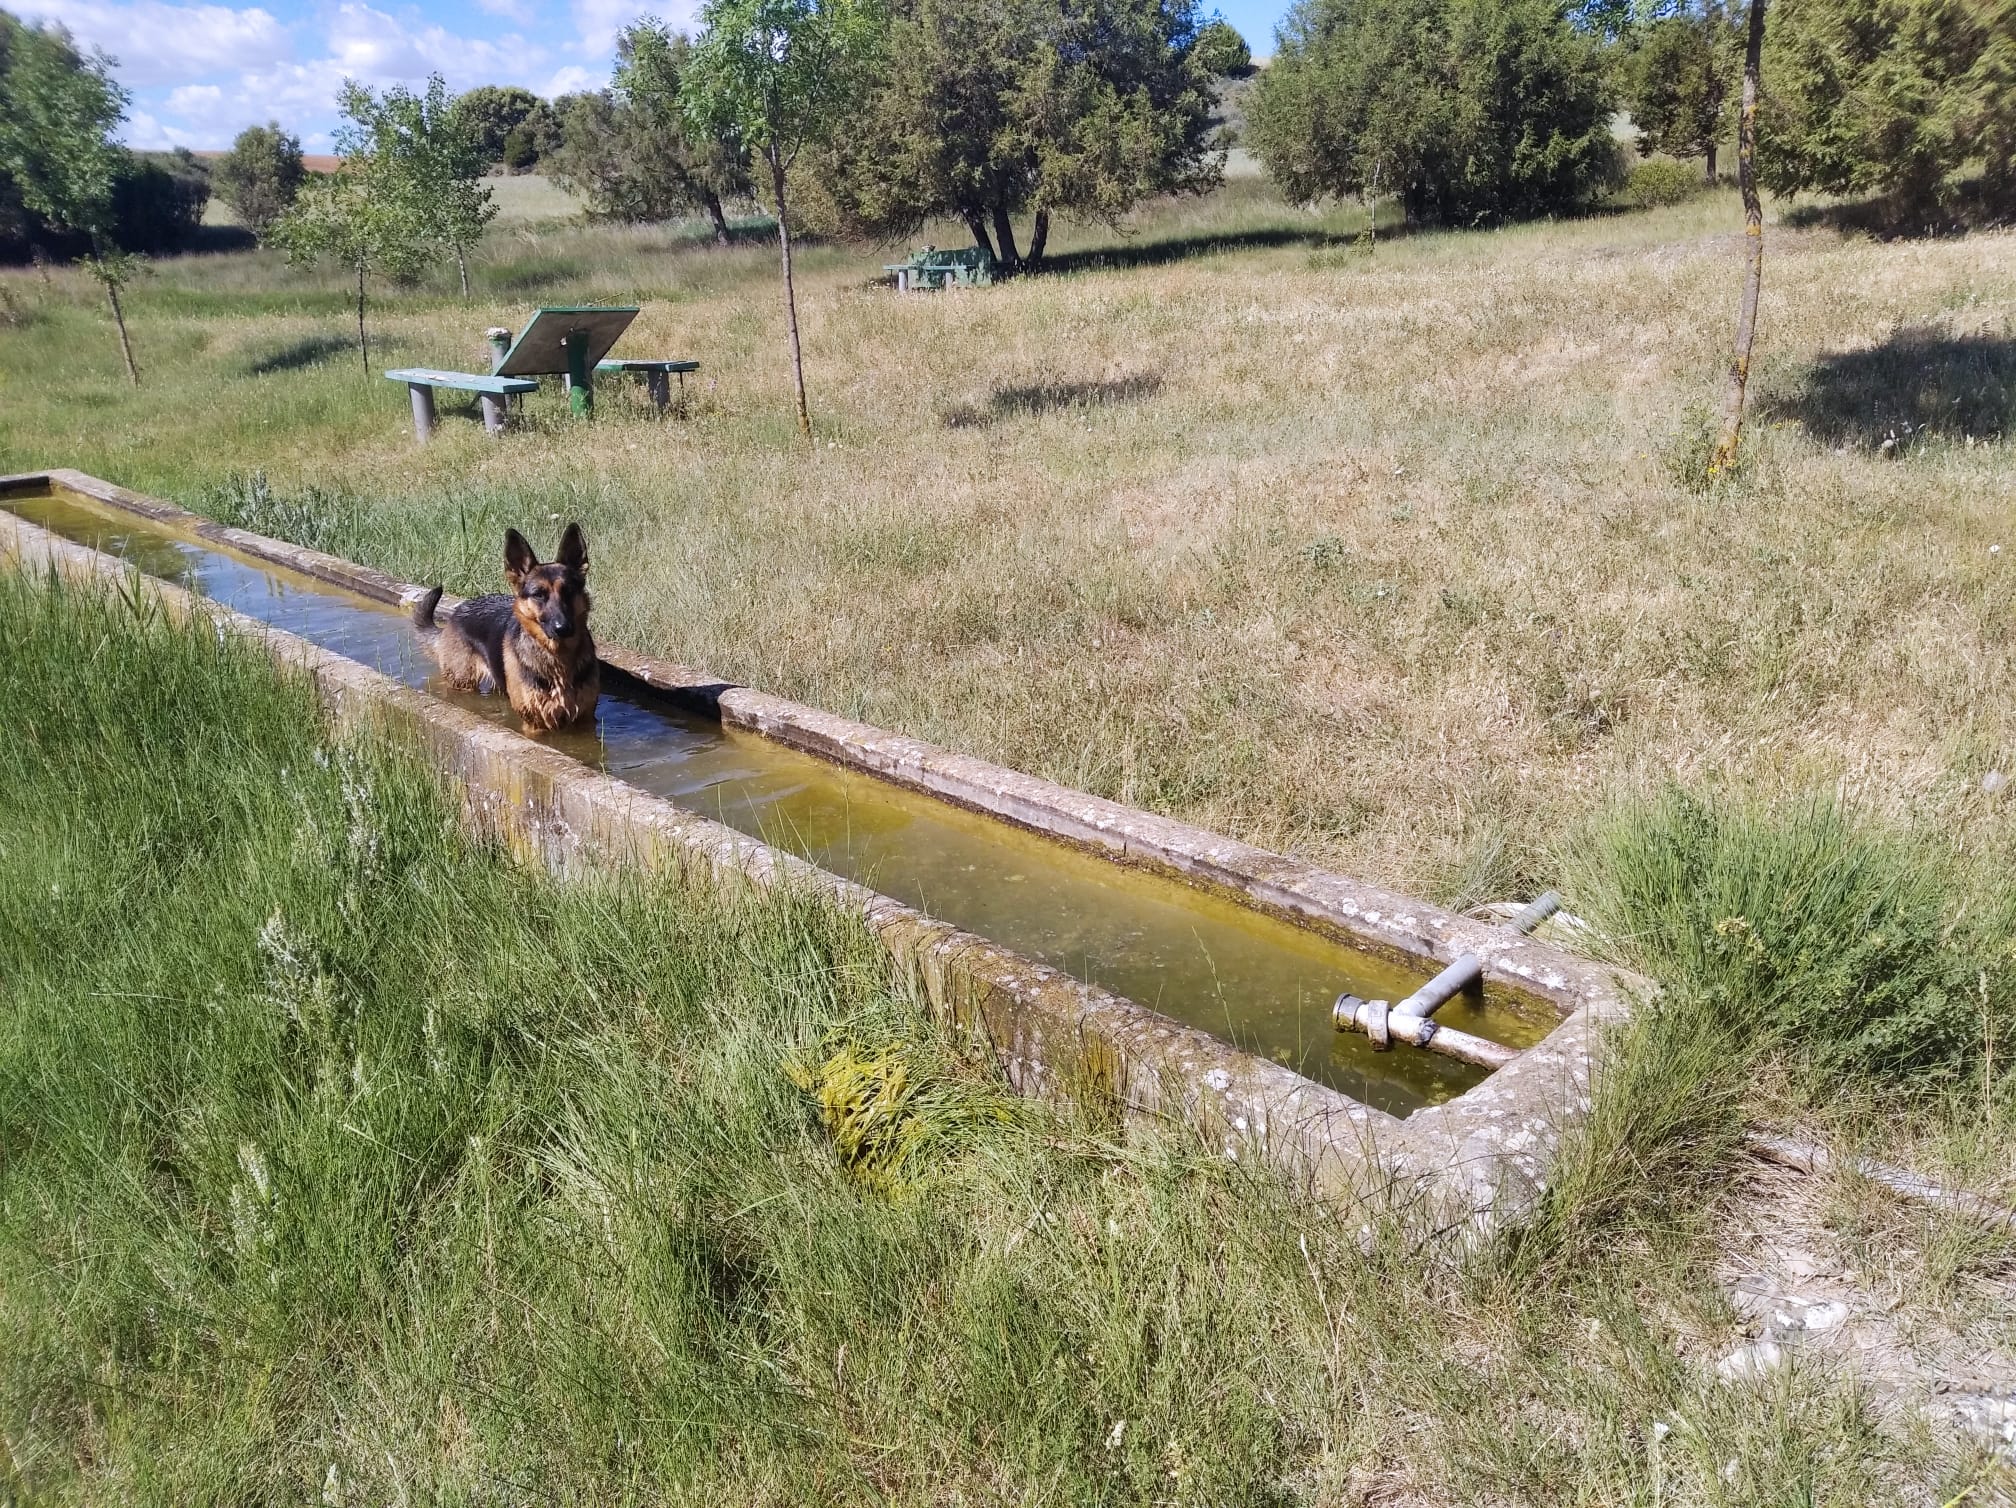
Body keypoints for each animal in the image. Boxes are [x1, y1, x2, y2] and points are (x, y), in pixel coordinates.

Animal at [409, 524, 592, 729]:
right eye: (538, 595)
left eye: (568, 591)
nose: (563, 629)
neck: (558, 658)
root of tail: (457, 612)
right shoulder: (534, 723)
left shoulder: (585, 720)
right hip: (463, 683)